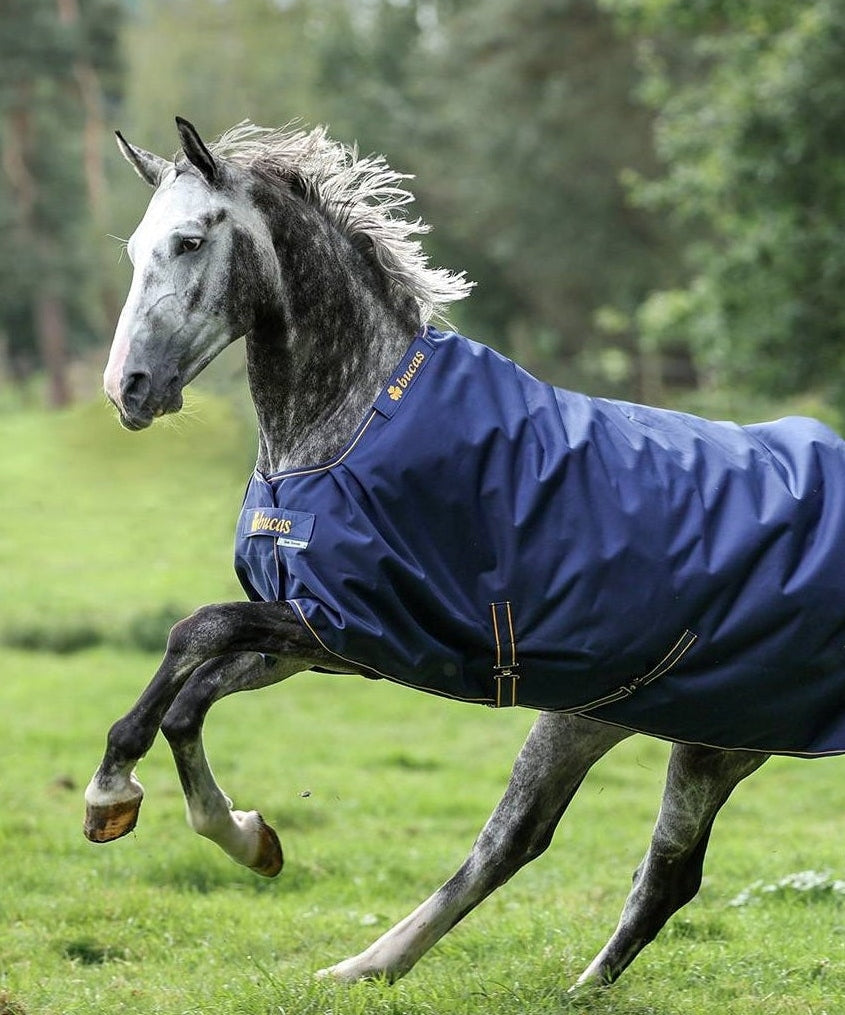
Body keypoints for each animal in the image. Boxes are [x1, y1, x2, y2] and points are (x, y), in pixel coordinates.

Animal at [84, 116, 845, 988]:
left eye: (188, 241)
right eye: (133, 247)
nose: (129, 389)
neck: (350, 424)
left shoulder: (360, 626)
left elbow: (195, 632)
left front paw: (109, 794)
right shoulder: (326, 637)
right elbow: (190, 697)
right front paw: (249, 837)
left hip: (694, 735)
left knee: (555, 849)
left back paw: (375, 967)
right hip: (645, 720)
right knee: (614, 861)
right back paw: (429, 975)